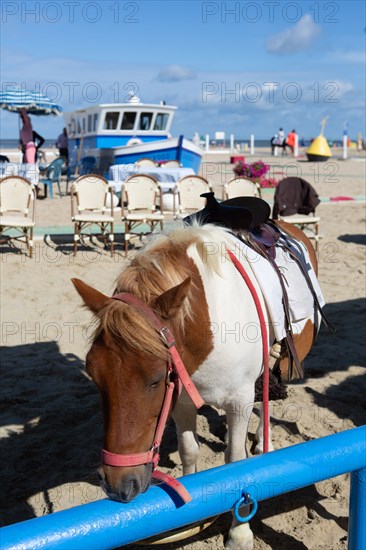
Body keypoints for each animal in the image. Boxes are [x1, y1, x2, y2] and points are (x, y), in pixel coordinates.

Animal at [73, 221, 318, 550]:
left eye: (156, 379)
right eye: (94, 374)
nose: (117, 486)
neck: (208, 327)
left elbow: (235, 462)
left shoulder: (239, 400)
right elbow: (189, 451)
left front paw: (239, 533)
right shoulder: (181, 402)